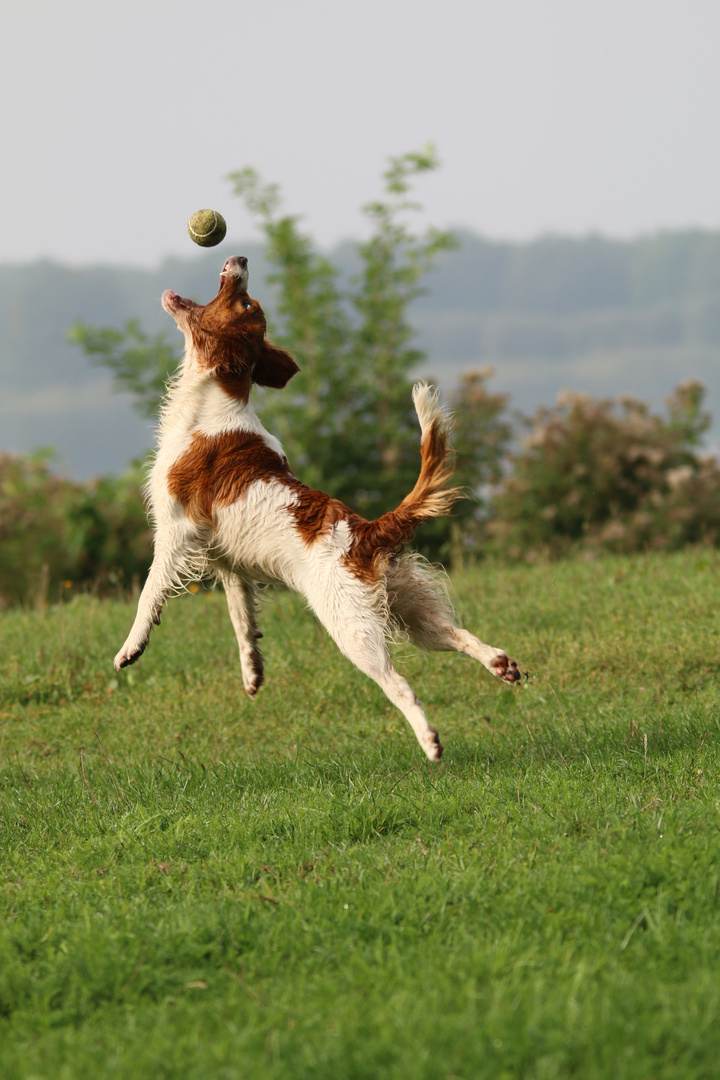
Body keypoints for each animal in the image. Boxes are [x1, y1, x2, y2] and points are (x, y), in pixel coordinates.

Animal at [111, 257, 518, 760]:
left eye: (245, 302)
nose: (241, 259)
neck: (211, 405)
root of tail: (369, 531)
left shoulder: (176, 534)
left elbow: (149, 595)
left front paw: (131, 648)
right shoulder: (226, 559)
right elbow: (241, 619)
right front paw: (252, 672)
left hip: (352, 628)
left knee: (399, 685)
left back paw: (431, 742)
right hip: (410, 610)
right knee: (458, 635)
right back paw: (500, 664)